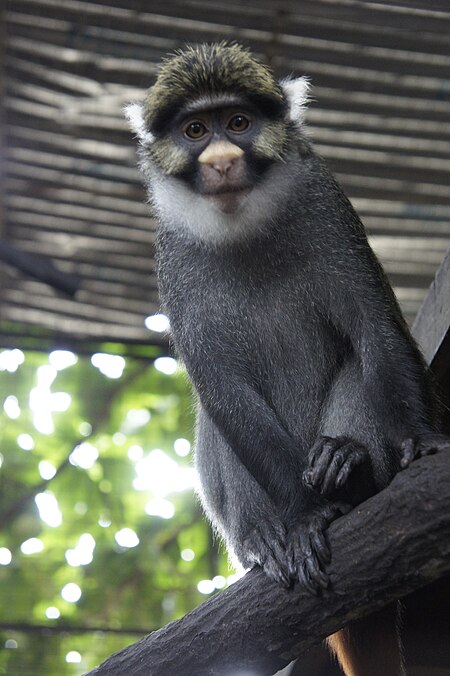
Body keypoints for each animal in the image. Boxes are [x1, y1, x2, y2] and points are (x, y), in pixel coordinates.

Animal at [127, 42, 450, 676]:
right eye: (195, 130)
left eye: (238, 123)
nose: (222, 158)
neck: (243, 228)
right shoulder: (173, 264)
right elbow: (221, 389)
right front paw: (300, 519)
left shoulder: (326, 207)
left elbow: (376, 331)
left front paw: (420, 442)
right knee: (215, 423)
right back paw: (268, 538)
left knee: (358, 372)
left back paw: (351, 472)